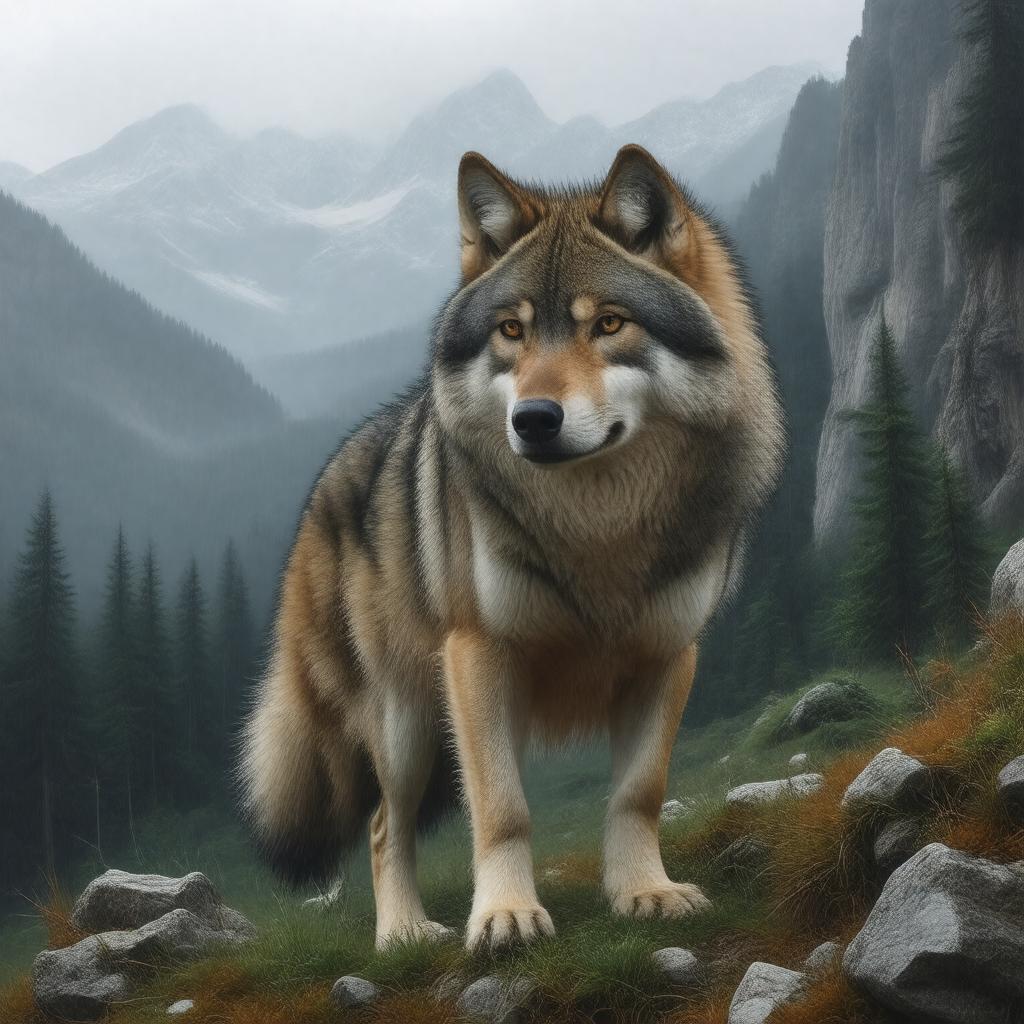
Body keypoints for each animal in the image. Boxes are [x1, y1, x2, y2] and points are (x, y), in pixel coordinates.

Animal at [239, 144, 784, 950]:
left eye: (609, 324)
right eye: (512, 331)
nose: (533, 419)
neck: (597, 525)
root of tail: (329, 478)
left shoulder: (668, 655)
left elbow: (638, 792)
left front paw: (644, 892)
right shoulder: (481, 656)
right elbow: (502, 809)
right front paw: (504, 915)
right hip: (406, 722)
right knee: (382, 824)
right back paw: (403, 932)